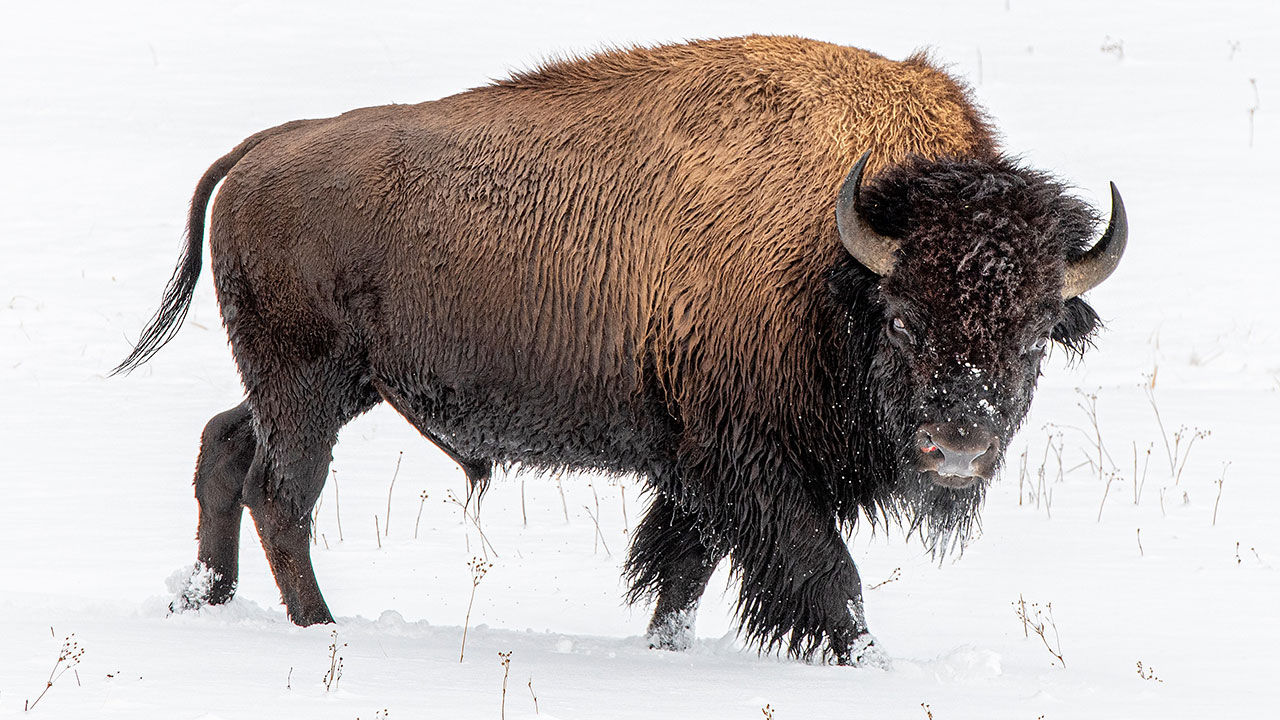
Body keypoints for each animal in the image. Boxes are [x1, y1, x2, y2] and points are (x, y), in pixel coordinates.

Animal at [115, 33, 1126, 661]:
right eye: (905, 314)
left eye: (1036, 335)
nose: (958, 448)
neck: (837, 256)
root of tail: (264, 148)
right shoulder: (750, 463)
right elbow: (825, 578)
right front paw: (864, 664)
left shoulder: (699, 472)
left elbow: (683, 572)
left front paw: (665, 651)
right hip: (309, 386)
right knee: (280, 493)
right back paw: (320, 630)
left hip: (323, 385)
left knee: (225, 445)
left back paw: (204, 598)